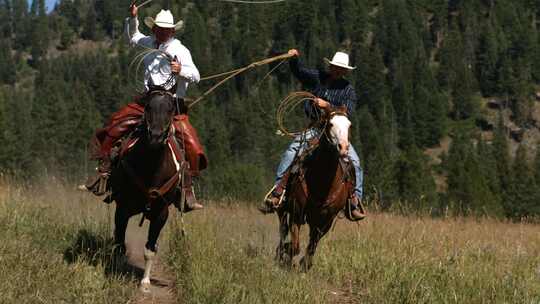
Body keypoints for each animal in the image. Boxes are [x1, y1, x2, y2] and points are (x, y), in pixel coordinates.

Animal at [108, 90, 185, 292]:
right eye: (148, 106)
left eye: (170, 109)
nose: (156, 137)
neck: (152, 168)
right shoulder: (123, 208)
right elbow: (120, 244)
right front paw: (116, 274)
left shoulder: (161, 214)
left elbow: (150, 249)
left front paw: (145, 282)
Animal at [274, 107, 354, 270]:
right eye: (330, 124)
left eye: (349, 125)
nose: (343, 148)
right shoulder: (296, 212)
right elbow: (295, 246)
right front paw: (286, 254)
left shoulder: (326, 220)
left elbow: (312, 245)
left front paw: (305, 264)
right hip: (283, 210)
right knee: (283, 230)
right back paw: (280, 254)